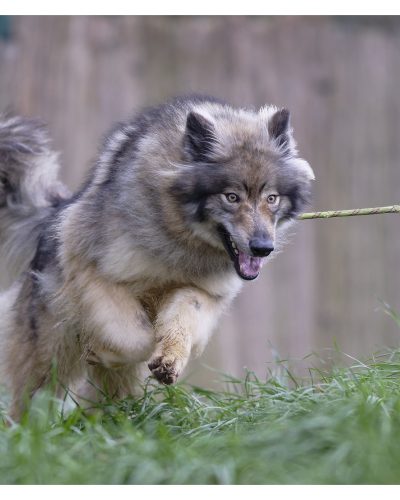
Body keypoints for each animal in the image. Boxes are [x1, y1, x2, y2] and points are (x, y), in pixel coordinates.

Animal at [0, 95, 314, 420]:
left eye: (272, 198)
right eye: (231, 197)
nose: (263, 247)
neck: (180, 236)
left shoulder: (200, 292)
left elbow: (179, 322)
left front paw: (169, 359)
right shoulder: (96, 276)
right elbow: (136, 341)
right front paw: (104, 350)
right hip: (49, 358)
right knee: (30, 401)